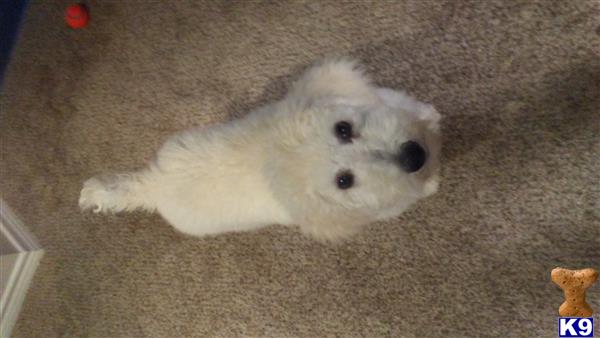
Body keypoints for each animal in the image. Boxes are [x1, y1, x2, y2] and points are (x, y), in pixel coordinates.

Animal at [81, 58, 440, 240]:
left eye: (343, 129)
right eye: (343, 181)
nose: (413, 156)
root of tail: (153, 184)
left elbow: (409, 107)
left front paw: (430, 116)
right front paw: (431, 183)